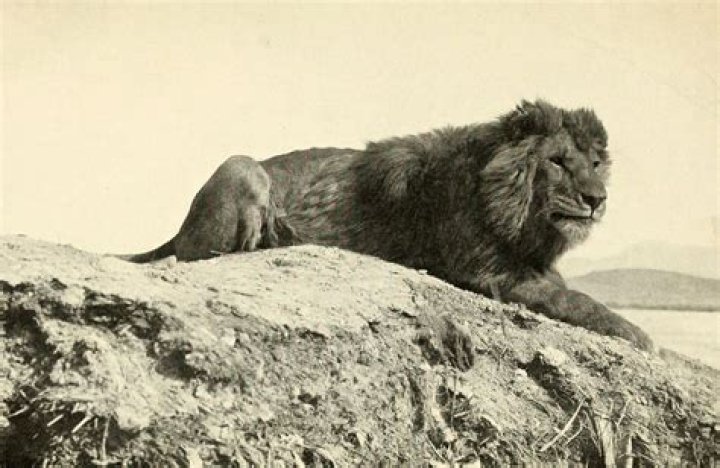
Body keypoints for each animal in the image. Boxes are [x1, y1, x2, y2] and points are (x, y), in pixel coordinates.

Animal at [124, 99, 653, 352]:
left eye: (596, 162)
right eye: (559, 162)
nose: (597, 200)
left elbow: (571, 291)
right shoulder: (486, 273)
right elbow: (578, 301)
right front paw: (640, 336)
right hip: (242, 166)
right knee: (203, 252)